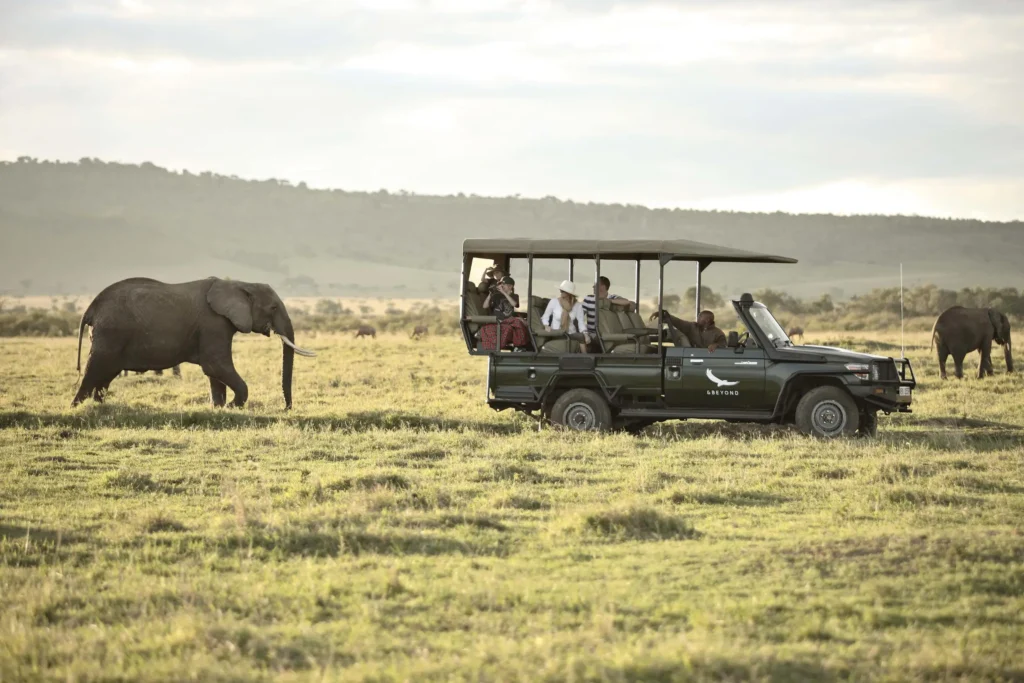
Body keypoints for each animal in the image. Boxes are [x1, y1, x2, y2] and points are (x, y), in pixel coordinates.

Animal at [73, 276, 315, 408]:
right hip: (110, 332)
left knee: (105, 374)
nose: (286, 408)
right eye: (273, 307)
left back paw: (98, 406)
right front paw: (231, 406)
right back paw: (76, 408)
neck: (240, 284)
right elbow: (216, 366)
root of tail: (91, 308)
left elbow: (215, 373)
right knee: (95, 369)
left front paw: (218, 408)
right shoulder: (213, 324)